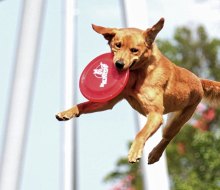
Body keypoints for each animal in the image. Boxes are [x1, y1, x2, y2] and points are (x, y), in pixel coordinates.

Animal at [55, 18, 220, 165]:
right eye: (117, 45)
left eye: (134, 50)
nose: (119, 64)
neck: (139, 73)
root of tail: (199, 80)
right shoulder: (109, 101)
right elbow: (83, 104)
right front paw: (67, 112)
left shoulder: (155, 115)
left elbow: (141, 134)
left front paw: (134, 152)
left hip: (177, 119)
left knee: (167, 138)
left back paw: (154, 155)